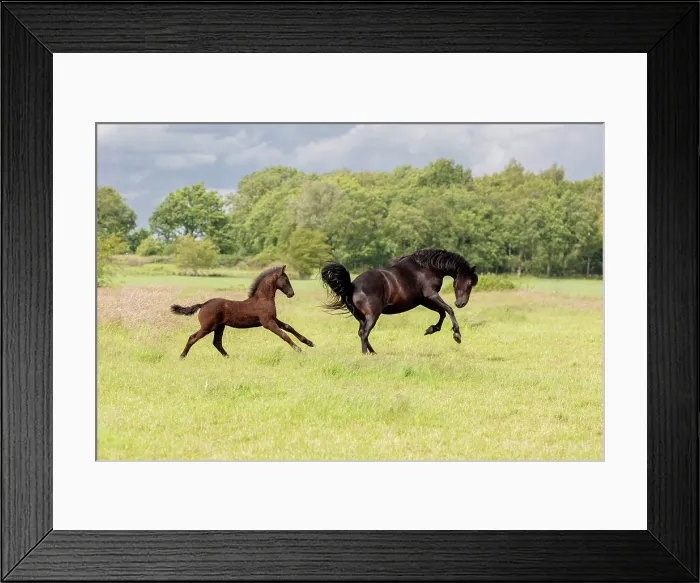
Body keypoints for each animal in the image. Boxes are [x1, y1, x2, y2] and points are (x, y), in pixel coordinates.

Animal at [170, 265, 314, 359]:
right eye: (286, 279)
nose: (291, 293)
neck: (263, 299)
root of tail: (203, 304)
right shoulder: (267, 322)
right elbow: (284, 335)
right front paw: (298, 349)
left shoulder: (273, 319)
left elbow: (289, 327)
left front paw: (309, 343)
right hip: (208, 327)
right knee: (193, 337)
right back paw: (182, 356)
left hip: (219, 327)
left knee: (217, 342)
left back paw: (228, 357)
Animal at [320, 249, 478, 355]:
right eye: (469, 283)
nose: (461, 303)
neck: (426, 268)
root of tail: (352, 286)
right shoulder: (431, 295)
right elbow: (448, 309)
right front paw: (457, 335)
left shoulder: (423, 300)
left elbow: (442, 313)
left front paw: (431, 329)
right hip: (372, 315)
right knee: (364, 333)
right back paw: (366, 354)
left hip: (361, 317)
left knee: (361, 333)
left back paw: (373, 353)